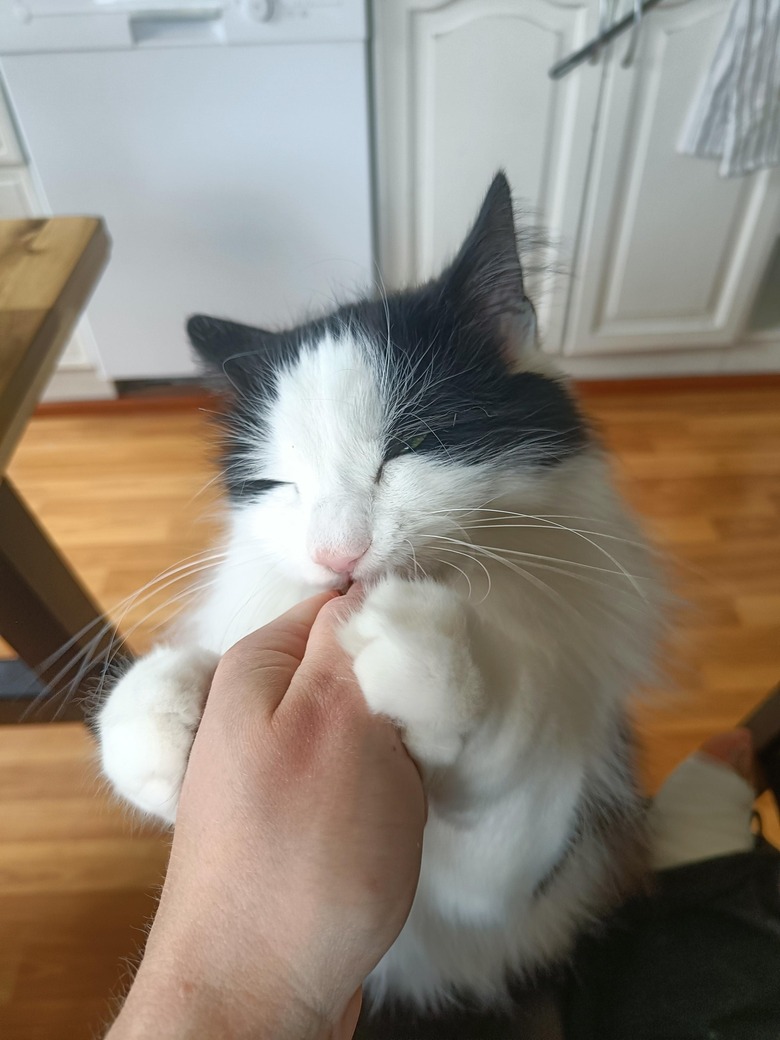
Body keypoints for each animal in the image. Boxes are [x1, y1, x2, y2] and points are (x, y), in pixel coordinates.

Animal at [94, 174, 661, 1010]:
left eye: (410, 446)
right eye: (280, 484)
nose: (338, 553)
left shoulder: (511, 879)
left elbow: (508, 779)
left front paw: (423, 652)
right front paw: (159, 702)